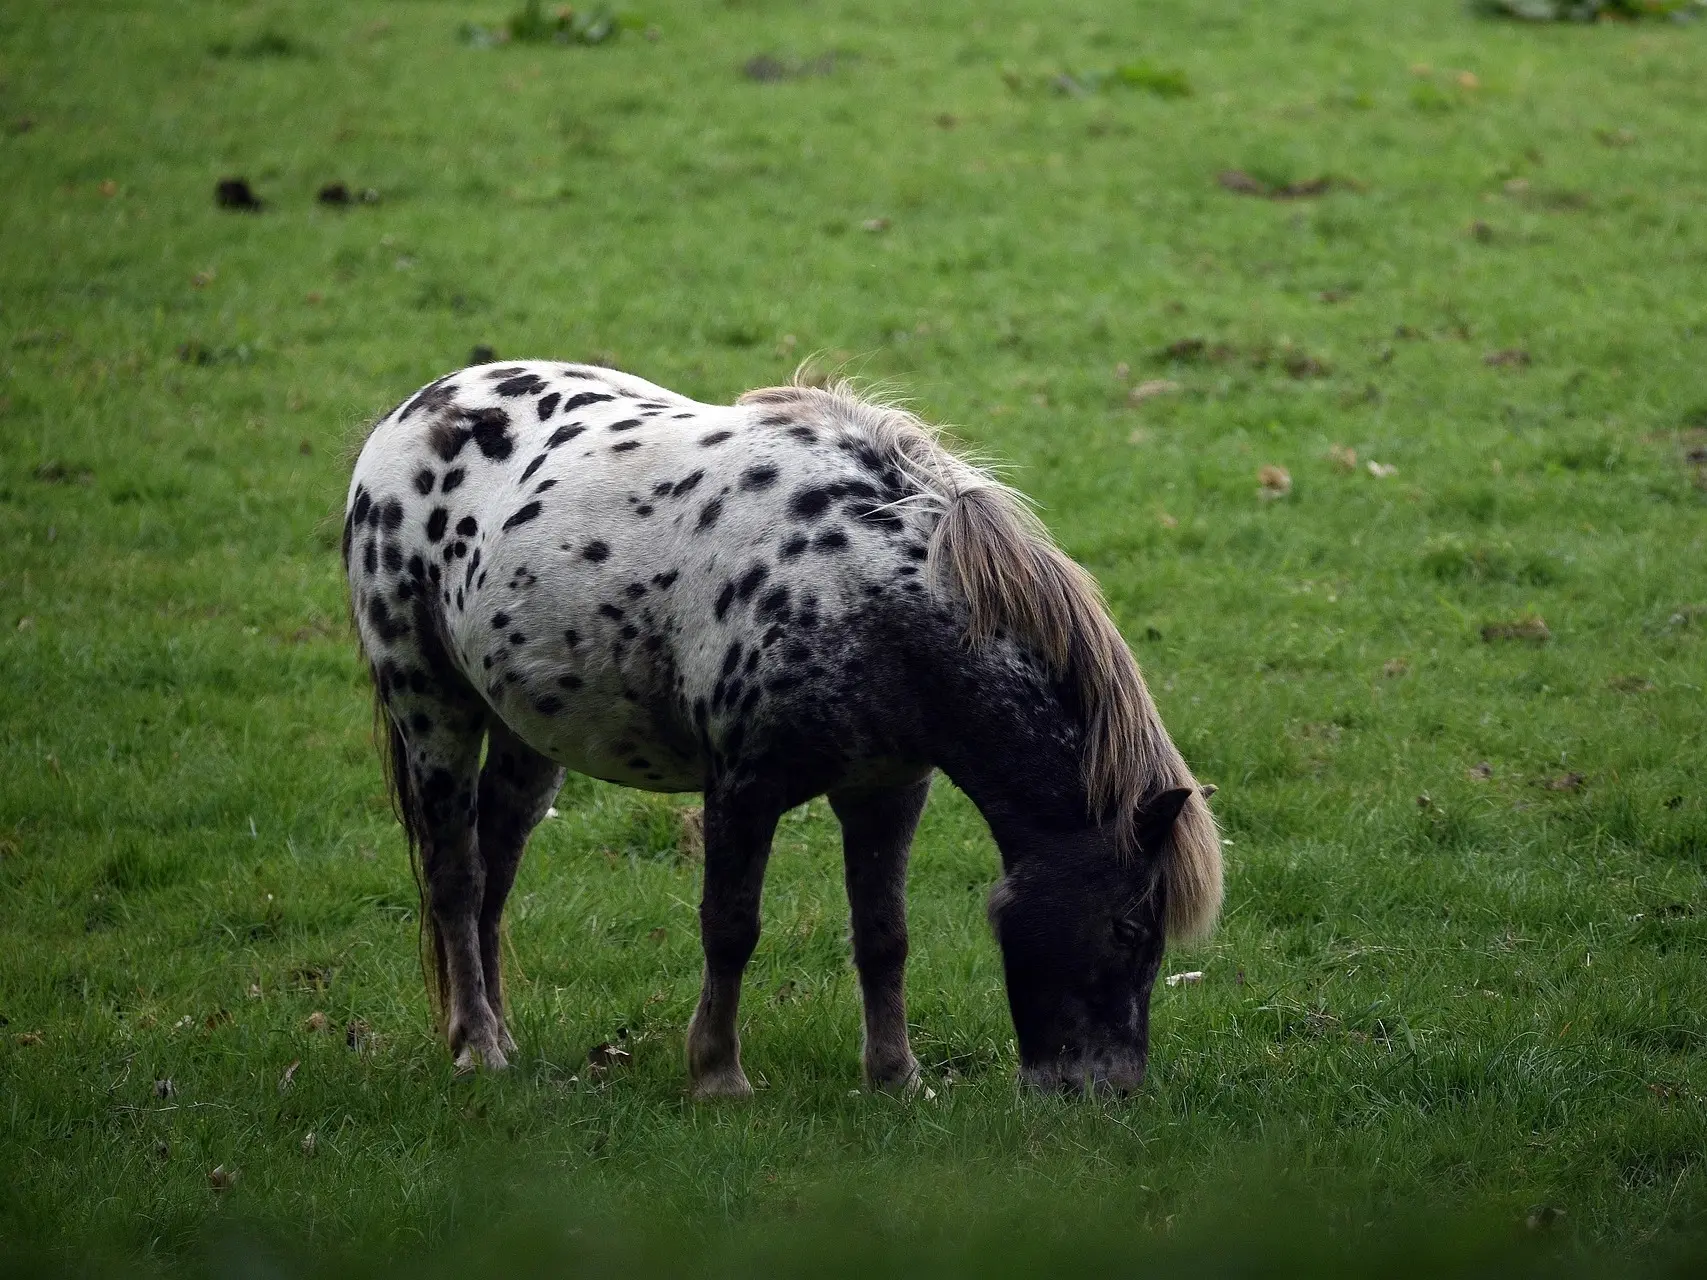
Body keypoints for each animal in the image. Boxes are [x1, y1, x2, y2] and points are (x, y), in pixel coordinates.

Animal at [346, 363, 1222, 1105]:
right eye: (1130, 928)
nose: (1108, 1092)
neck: (857, 587)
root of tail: (413, 412)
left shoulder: (887, 789)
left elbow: (883, 935)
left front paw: (895, 1078)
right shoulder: (743, 787)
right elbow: (730, 929)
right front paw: (717, 1077)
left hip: (525, 735)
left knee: (496, 872)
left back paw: (498, 1032)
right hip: (432, 707)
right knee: (457, 878)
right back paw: (477, 1047)